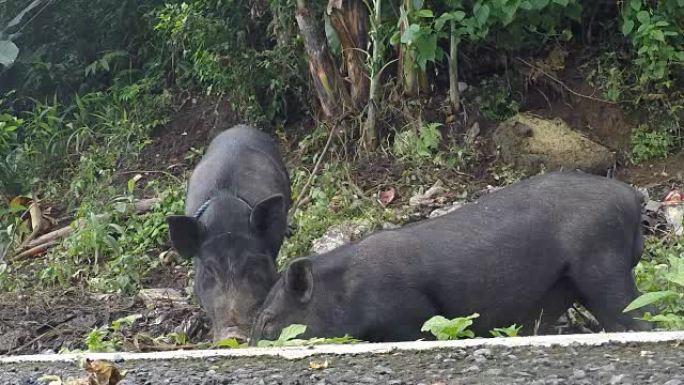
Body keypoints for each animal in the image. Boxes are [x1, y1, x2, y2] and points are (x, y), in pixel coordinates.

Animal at [251, 171, 652, 342]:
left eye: (268, 321)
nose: (252, 340)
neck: (343, 292)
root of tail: (631, 196)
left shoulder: (411, 318)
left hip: (603, 265)